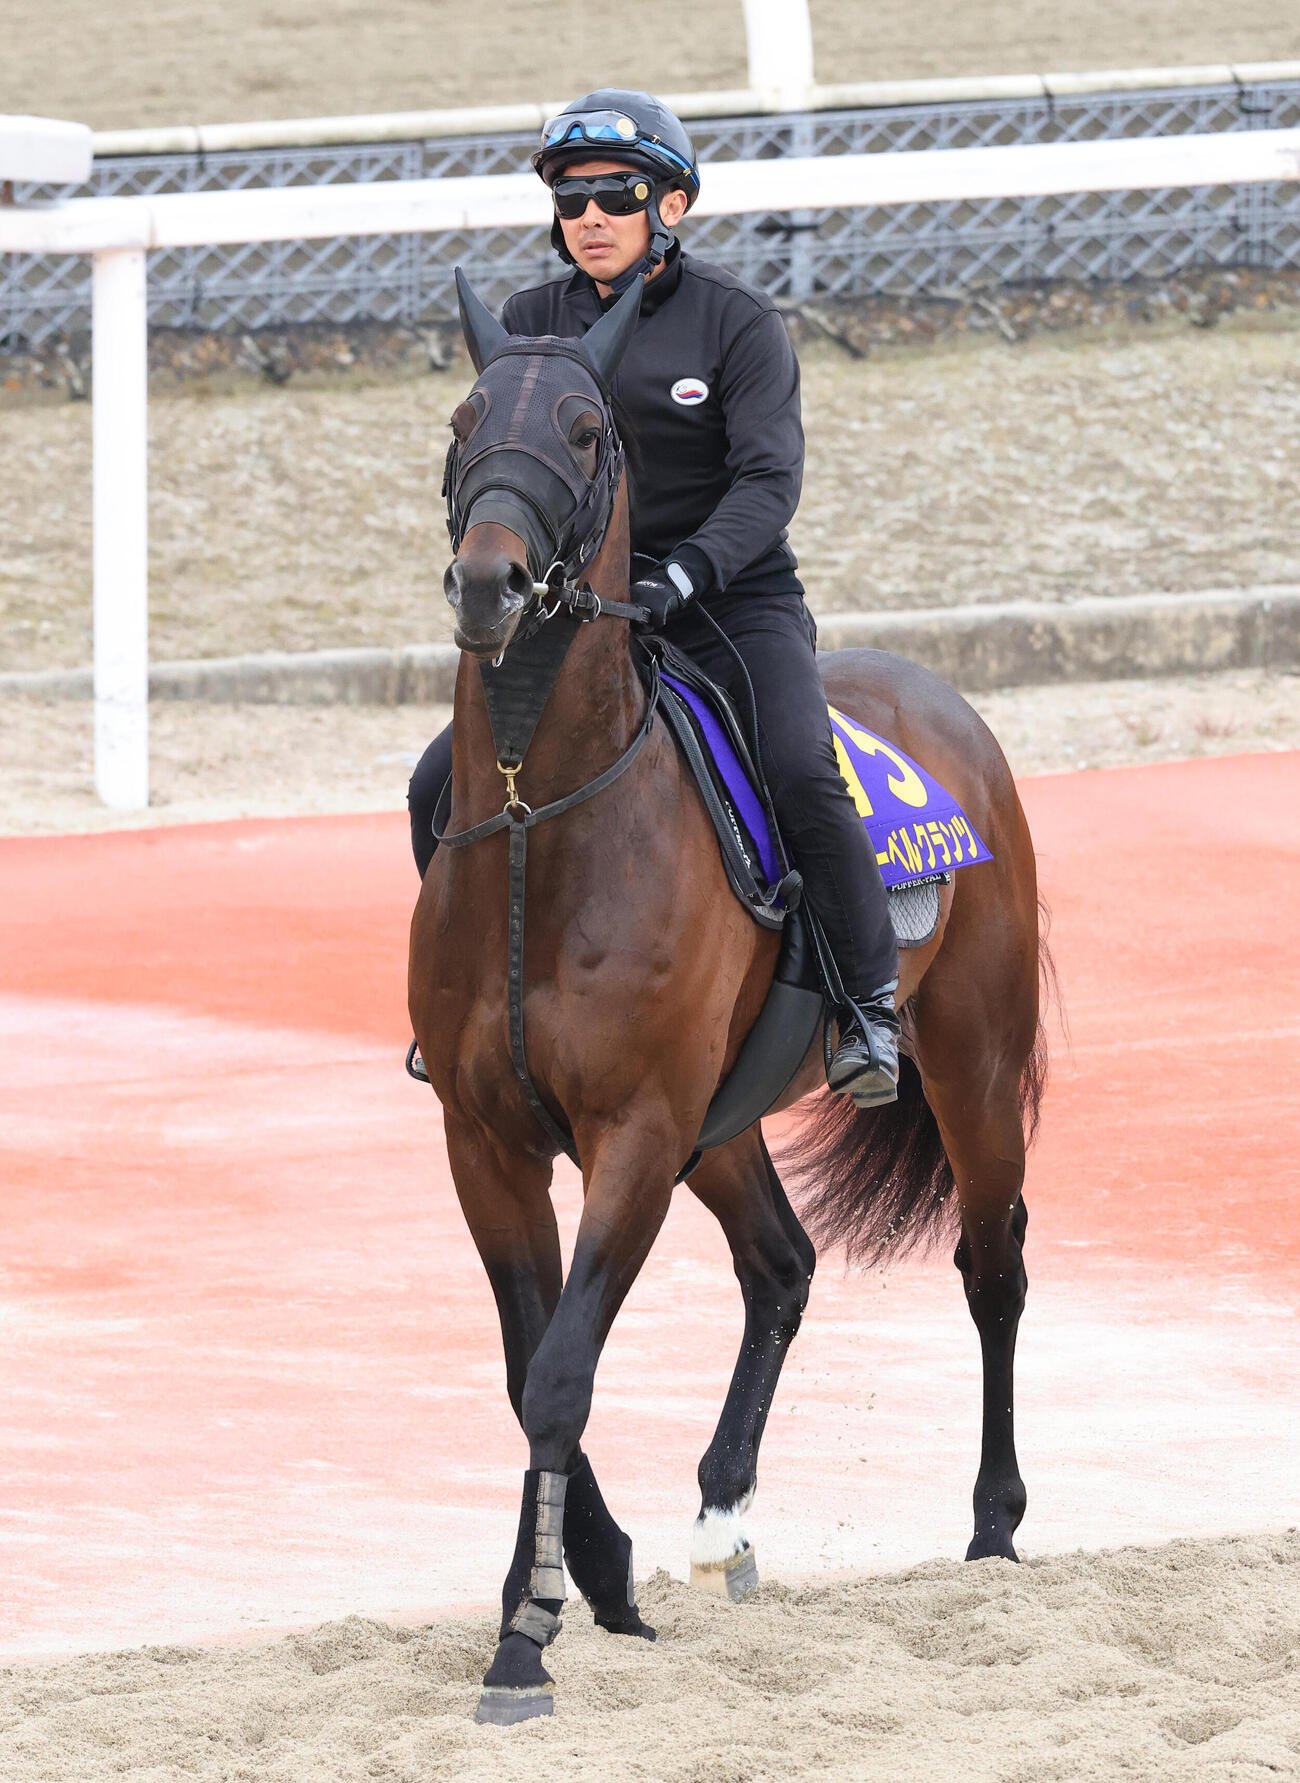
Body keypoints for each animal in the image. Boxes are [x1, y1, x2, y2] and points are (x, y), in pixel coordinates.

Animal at [408, 272, 1049, 1725]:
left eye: (588, 429)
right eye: (464, 418)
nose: (490, 579)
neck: (539, 825)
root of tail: (946, 705)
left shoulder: (636, 1134)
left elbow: (562, 1367)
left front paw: (528, 1632)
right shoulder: (485, 1140)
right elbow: (528, 1360)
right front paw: (590, 1576)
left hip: (972, 1063)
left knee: (992, 1266)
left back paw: (992, 1522)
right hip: (728, 1119)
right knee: (782, 1265)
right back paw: (721, 1514)